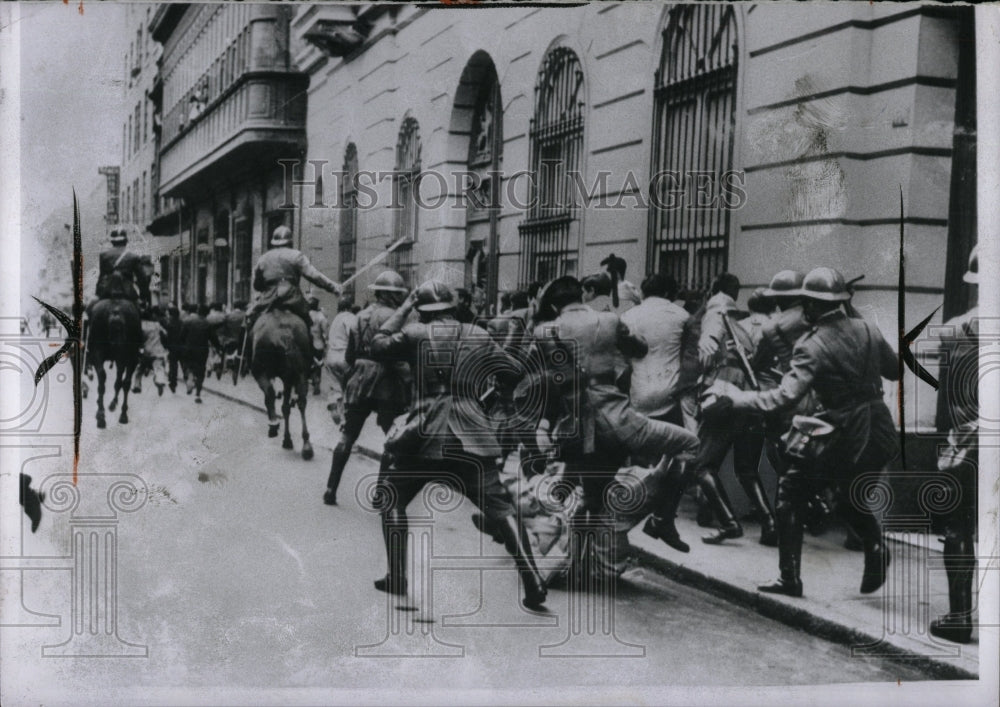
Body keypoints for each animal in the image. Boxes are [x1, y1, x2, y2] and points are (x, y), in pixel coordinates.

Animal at [250, 308, 312, 460]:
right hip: (300, 374)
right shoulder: (288, 378)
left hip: (261, 372)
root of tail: (284, 334)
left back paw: (273, 425)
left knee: (270, 394)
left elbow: (271, 397)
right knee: (301, 402)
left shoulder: (265, 374)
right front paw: (287, 440)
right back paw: (307, 445)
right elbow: (286, 407)